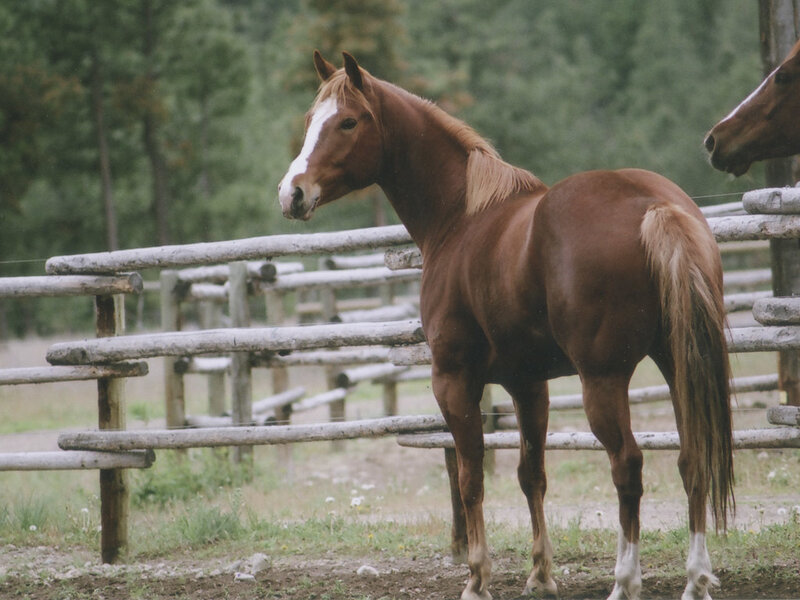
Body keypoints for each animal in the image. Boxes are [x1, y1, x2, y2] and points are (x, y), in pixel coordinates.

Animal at [279, 51, 734, 600]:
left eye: (348, 121)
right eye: (311, 120)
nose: (291, 193)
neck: (461, 217)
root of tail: (654, 205)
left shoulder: (454, 381)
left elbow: (470, 477)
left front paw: (477, 578)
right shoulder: (527, 384)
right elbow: (530, 474)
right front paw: (541, 574)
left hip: (603, 380)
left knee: (627, 465)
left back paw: (625, 581)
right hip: (676, 363)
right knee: (693, 458)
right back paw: (696, 579)